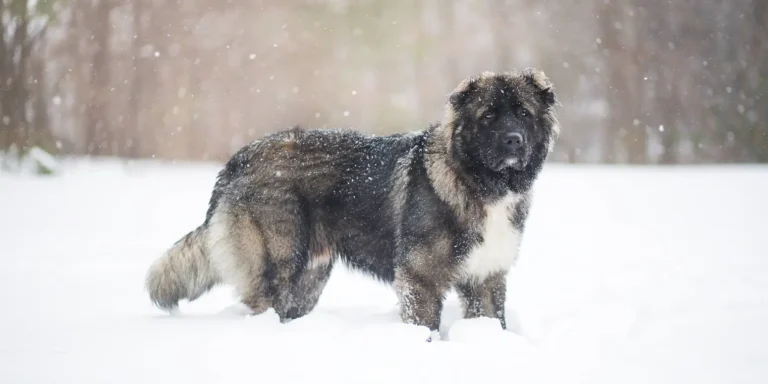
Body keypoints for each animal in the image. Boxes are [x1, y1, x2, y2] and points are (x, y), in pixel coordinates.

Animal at [147, 68, 560, 336]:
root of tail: (239, 159)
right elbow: (425, 326)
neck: (478, 182)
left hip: (310, 278)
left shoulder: (486, 278)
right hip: (278, 265)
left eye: (523, 113)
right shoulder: (420, 279)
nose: (513, 141)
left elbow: (493, 322)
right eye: (488, 115)